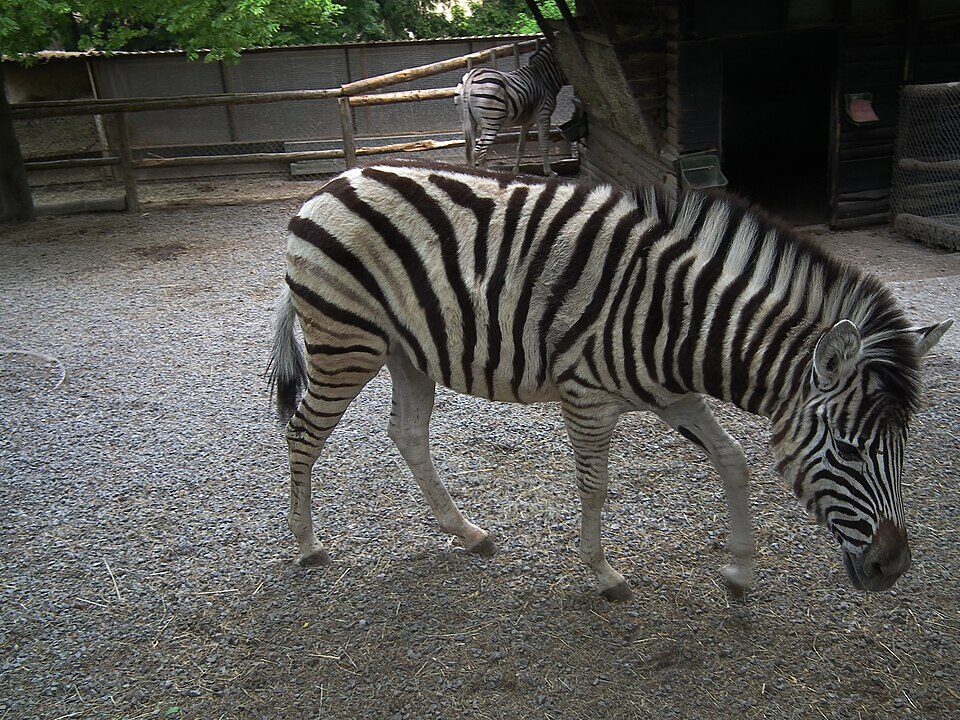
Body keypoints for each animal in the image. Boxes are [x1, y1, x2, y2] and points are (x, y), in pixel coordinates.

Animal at [267, 160, 951, 601]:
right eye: (849, 450)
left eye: (901, 447)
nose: (894, 568)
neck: (681, 319)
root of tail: (331, 184)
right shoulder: (587, 399)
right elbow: (594, 487)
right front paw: (604, 576)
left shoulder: (673, 396)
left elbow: (733, 461)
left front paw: (740, 573)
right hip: (346, 342)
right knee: (303, 435)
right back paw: (306, 546)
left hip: (407, 352)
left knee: (406, 433)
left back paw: (467, 534)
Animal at [455, 43, 566, 176]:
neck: (544, 78)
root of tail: (472, 74)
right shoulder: (544, 115)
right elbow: (544, 145)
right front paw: (549, 172)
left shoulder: (527, 122)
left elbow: (520, 147)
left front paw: (515, 171)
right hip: (492, 121)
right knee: (480, 150)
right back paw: (487, 173)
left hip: (469, 121)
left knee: (471, 150)